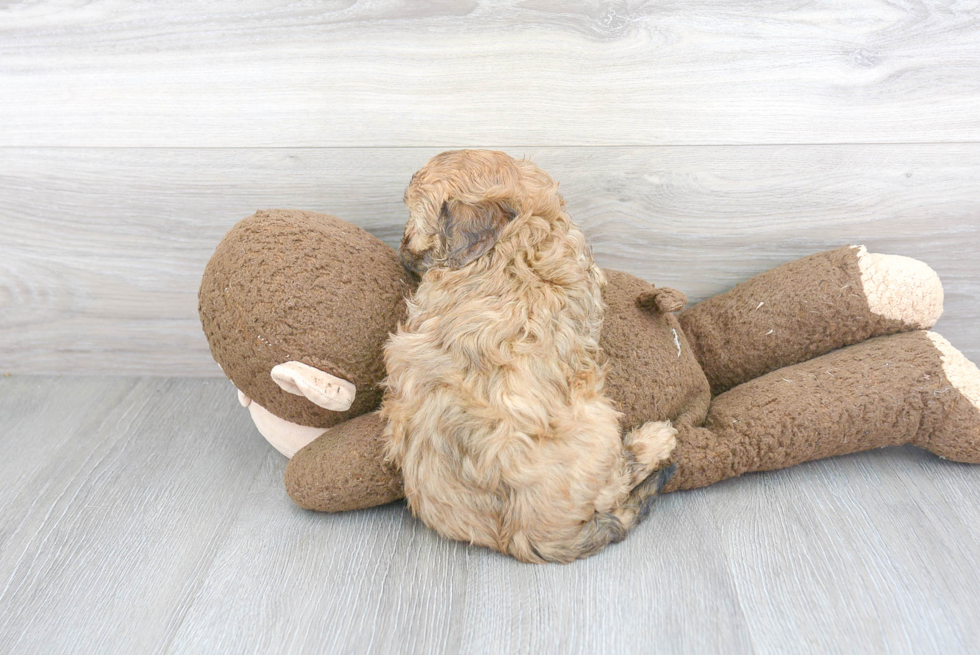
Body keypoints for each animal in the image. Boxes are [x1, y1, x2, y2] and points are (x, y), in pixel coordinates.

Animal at [380, 150, 672, 564]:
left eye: (414, 216)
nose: (401, 249)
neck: (519, 232)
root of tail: (520, 534)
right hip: (597, 423)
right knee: (616, 482)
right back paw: (656, 439)